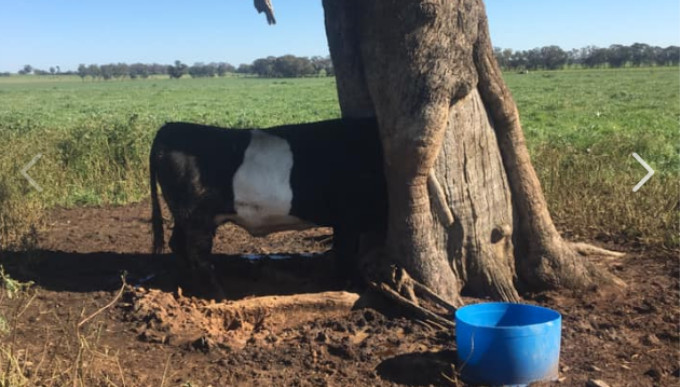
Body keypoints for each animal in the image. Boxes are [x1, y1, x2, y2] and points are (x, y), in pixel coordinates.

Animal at [151, 118, 386, 298]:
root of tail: (170, 127)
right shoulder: (349, 216)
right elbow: (346, 252)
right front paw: (351, 285)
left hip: (186, 217)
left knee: (178, 245)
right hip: (196, 217)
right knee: (198, 254)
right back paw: (219, 295)